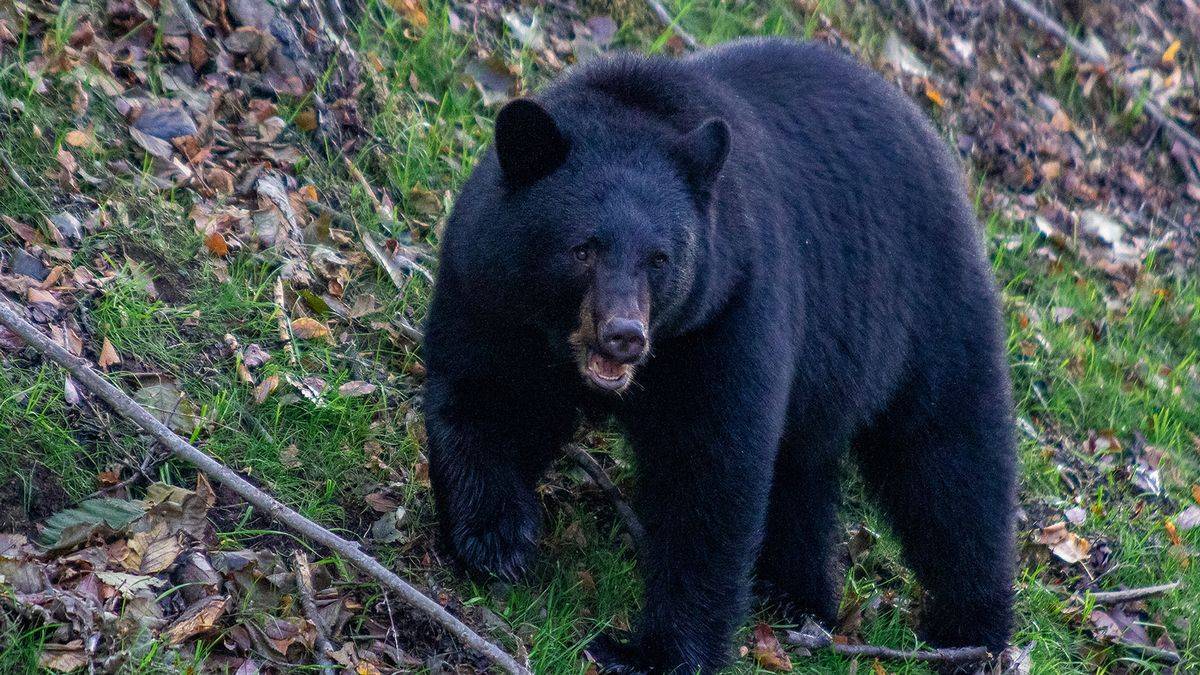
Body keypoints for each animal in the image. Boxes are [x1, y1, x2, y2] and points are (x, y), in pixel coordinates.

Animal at [427, 38, 1017, 672]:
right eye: (582, 248)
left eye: (660, 259)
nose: (624, 335)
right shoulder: (490, 290)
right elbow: (486, 394)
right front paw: (496, 539)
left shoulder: (727, 313)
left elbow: (710, 473)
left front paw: (653, 652)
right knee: (803, 468)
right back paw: (794, 593)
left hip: (928, 315)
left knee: (951, 463)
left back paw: (971, 631)